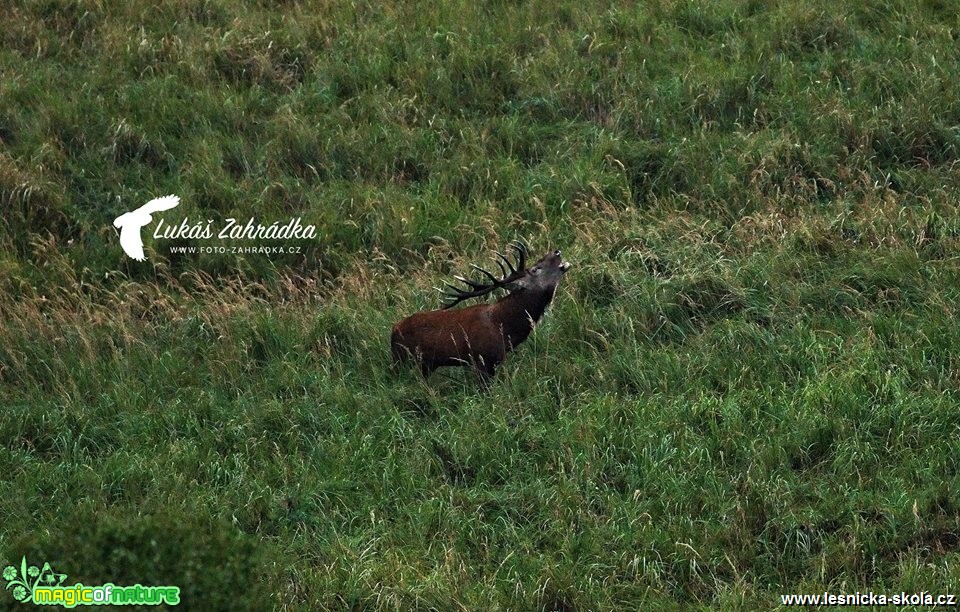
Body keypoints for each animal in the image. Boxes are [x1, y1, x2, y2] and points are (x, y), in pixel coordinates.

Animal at [390, 241, 568, 384]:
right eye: (535, 269)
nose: (556, 251)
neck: (505, 328)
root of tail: (393, 330)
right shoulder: (481, 359)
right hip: (402, 359)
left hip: (425, 364)